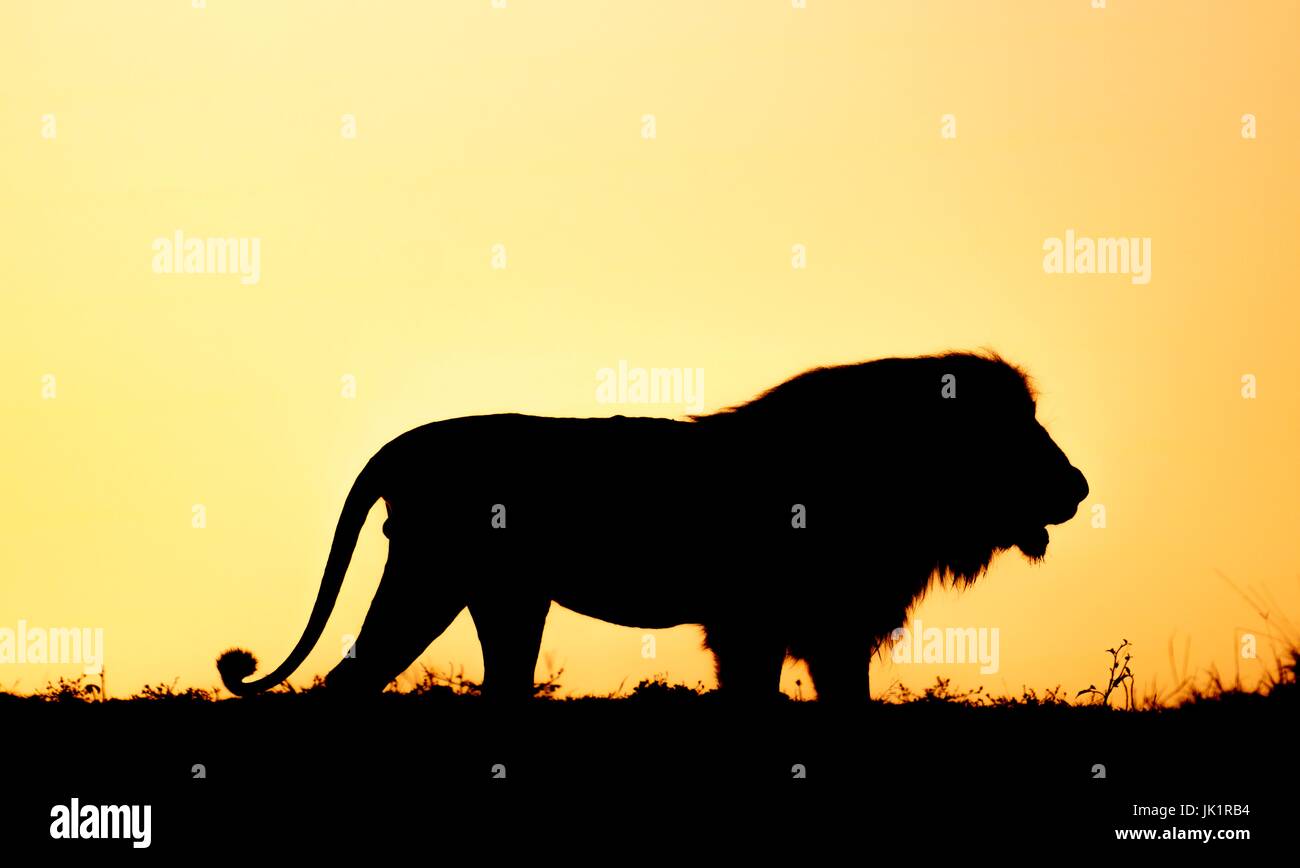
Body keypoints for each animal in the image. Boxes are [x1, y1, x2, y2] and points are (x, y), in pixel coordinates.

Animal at [218, 351, 1088, 703]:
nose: (1078, 486)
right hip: (431, 577)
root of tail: (408, 445)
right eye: (1018, 429)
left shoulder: (821, 629)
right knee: (350, 680)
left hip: (502, 597)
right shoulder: (760, 624)